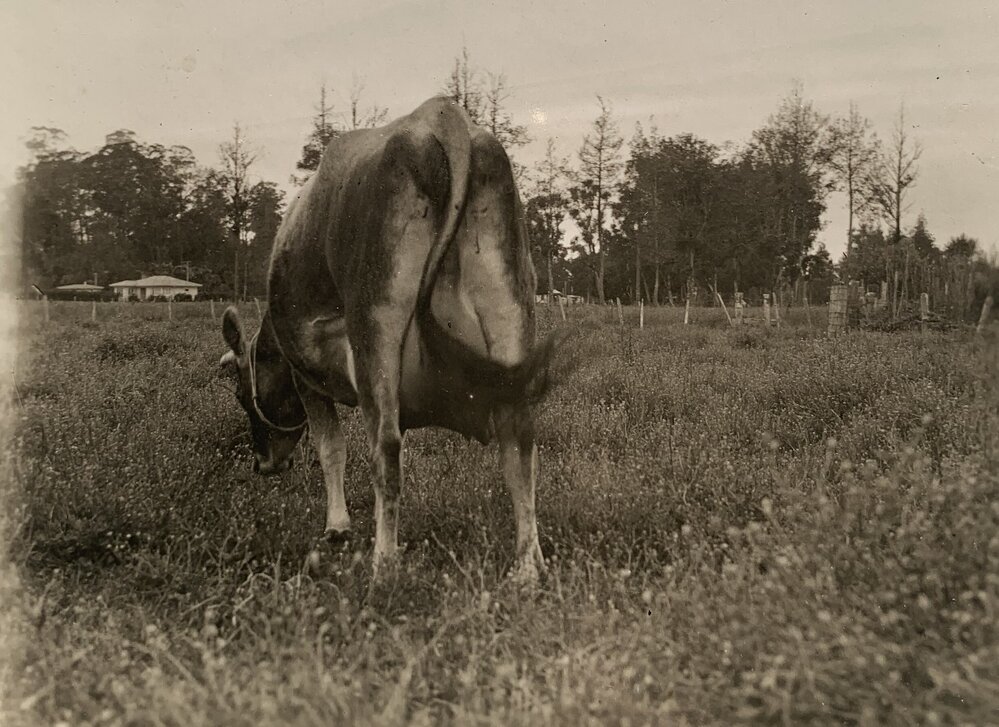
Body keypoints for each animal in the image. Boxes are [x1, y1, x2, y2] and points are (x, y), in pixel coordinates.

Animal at [219, 96, 558, 581]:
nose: (262, 463)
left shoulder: (307, 376)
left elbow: (331, 448)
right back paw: (528, 565)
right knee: (520, 445)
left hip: (376, 322)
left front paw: (337, 527)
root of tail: (437, 116)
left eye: (242, 398)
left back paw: (383, 561)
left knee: (386, 446)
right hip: (510, 307)